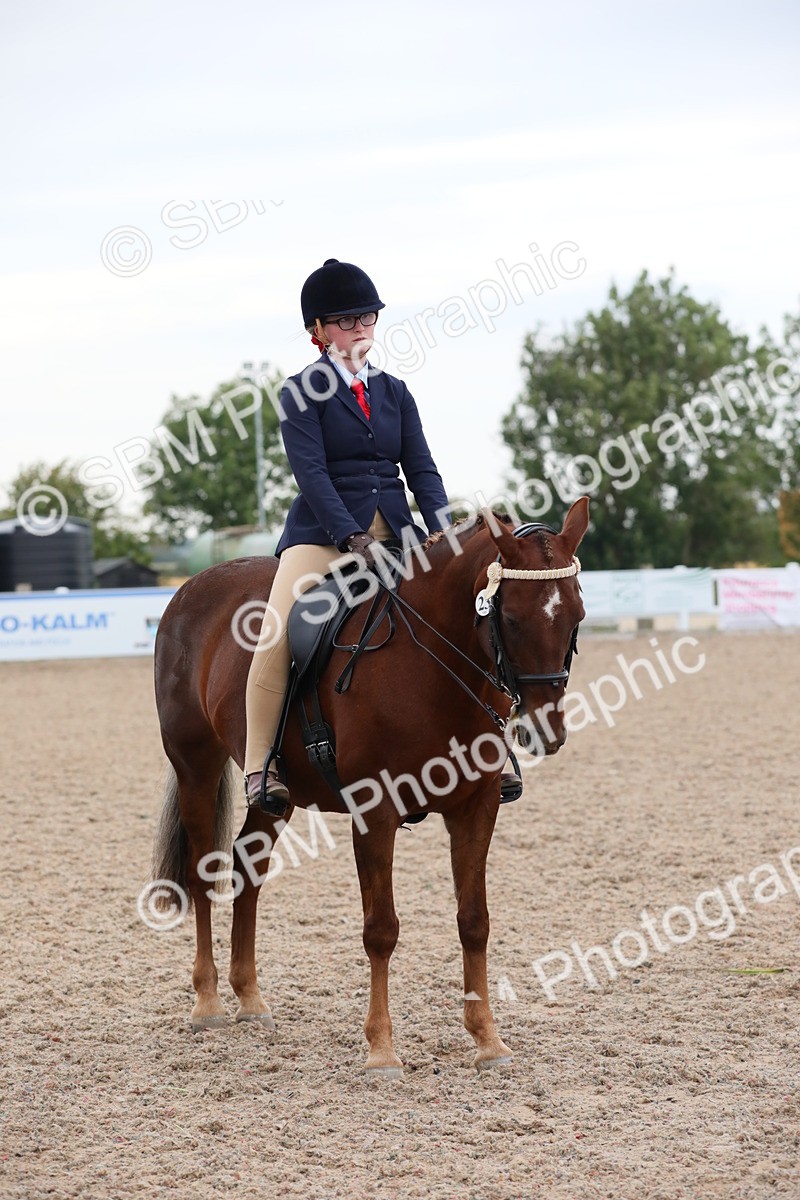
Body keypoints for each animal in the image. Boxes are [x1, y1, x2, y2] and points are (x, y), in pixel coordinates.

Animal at [150, 498, 589, 1076]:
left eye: (577, 617)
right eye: (510, 618)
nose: (546, 731)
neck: (433, 665)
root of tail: (191, 587)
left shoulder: (476, 807)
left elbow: (474, 921)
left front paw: (488, 1040)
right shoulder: (375, 810)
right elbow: (381, 929)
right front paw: (381, 1049)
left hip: (273, 799)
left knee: (249, 865)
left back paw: (251, 1000)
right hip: (195, 763)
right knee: (206, 872)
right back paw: (208, 1004)